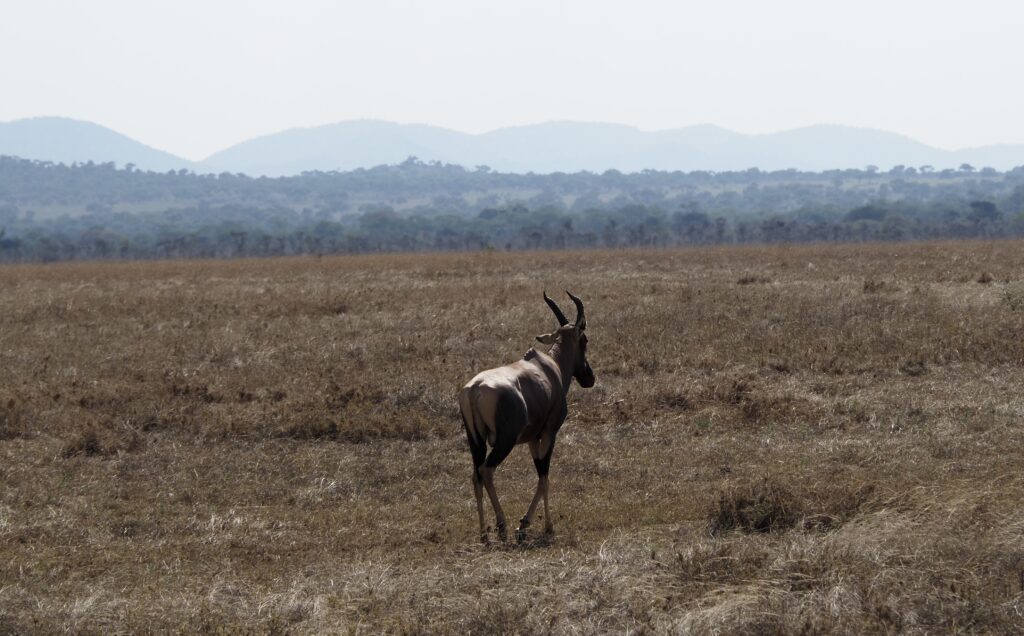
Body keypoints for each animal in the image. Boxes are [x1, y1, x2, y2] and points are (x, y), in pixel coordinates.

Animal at [456, 290, 593, 544]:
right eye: (585, 339)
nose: (590, 377)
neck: (549, 367)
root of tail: (475, 389)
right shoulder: (549, 433)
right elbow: (544, 477)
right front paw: (540, 526)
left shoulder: (532, 438)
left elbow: (540, 474)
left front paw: (525, 524)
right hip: (505, 441)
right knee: (486, 470)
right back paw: (502, 527)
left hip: (475, 440)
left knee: (475, 475)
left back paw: (483, 534)